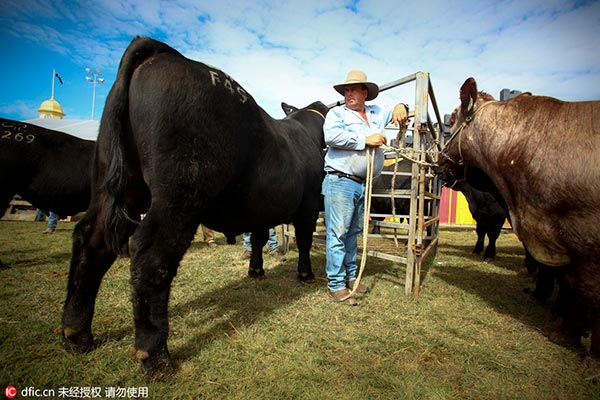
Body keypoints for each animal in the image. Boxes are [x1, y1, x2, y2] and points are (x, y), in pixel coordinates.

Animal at [61, 36, 330, 378]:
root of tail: (162, 51)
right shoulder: (308, 205)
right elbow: (306, 241)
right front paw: (305, 274)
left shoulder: (262, 209)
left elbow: (258, 238)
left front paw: (255, 270)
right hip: (179, 194)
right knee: (151, 256)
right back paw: (155, 355)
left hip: (113, 184)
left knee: (90, 240)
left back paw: (76, 334)